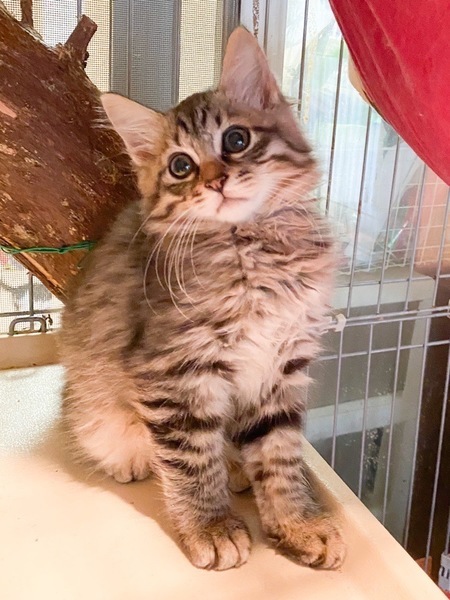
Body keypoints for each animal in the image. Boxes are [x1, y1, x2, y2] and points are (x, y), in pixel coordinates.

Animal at [60, 27, 345, 571]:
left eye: (236, 140)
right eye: (180, 166)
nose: (215, 180)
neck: (254, 248)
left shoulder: (281, 365)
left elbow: (280, 455)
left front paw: (296, 522)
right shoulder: (173, 372)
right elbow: (191, 459)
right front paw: (210, 526)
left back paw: (236, 468)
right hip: (95, 412)